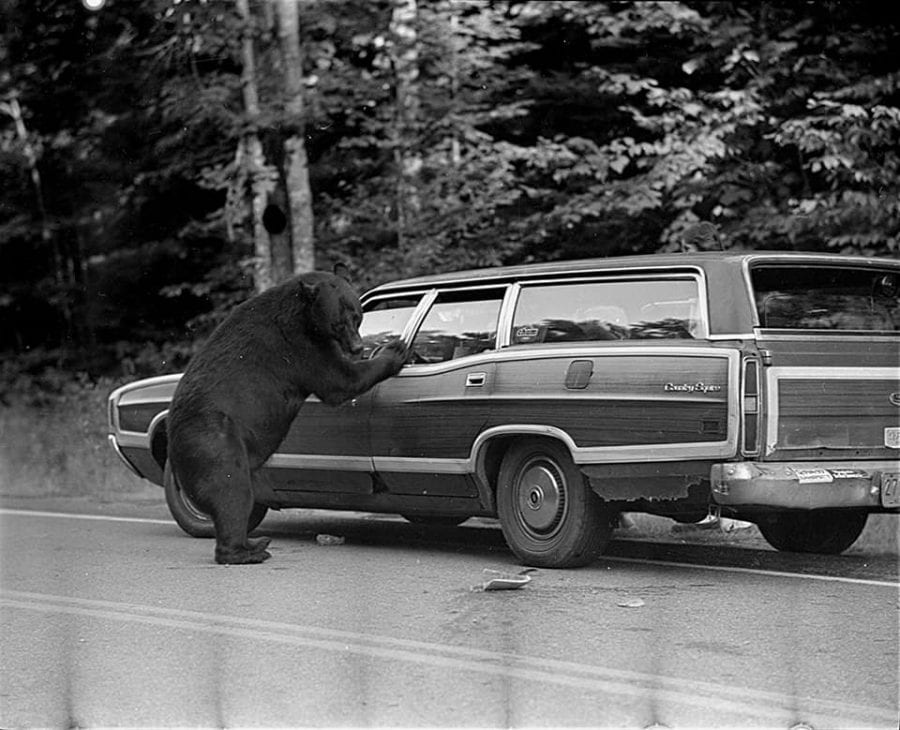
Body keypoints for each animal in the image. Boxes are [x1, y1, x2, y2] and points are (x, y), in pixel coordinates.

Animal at [167, 268, 406, 564]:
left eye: (357, 316)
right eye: (338, 323)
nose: (357, 347)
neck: (304, 315)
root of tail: (171, 444)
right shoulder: (300, 348)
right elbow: (340, 380)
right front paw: (394, 351)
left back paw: (255, 542)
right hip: (215, 442)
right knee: (232, 491)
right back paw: (249, 551)